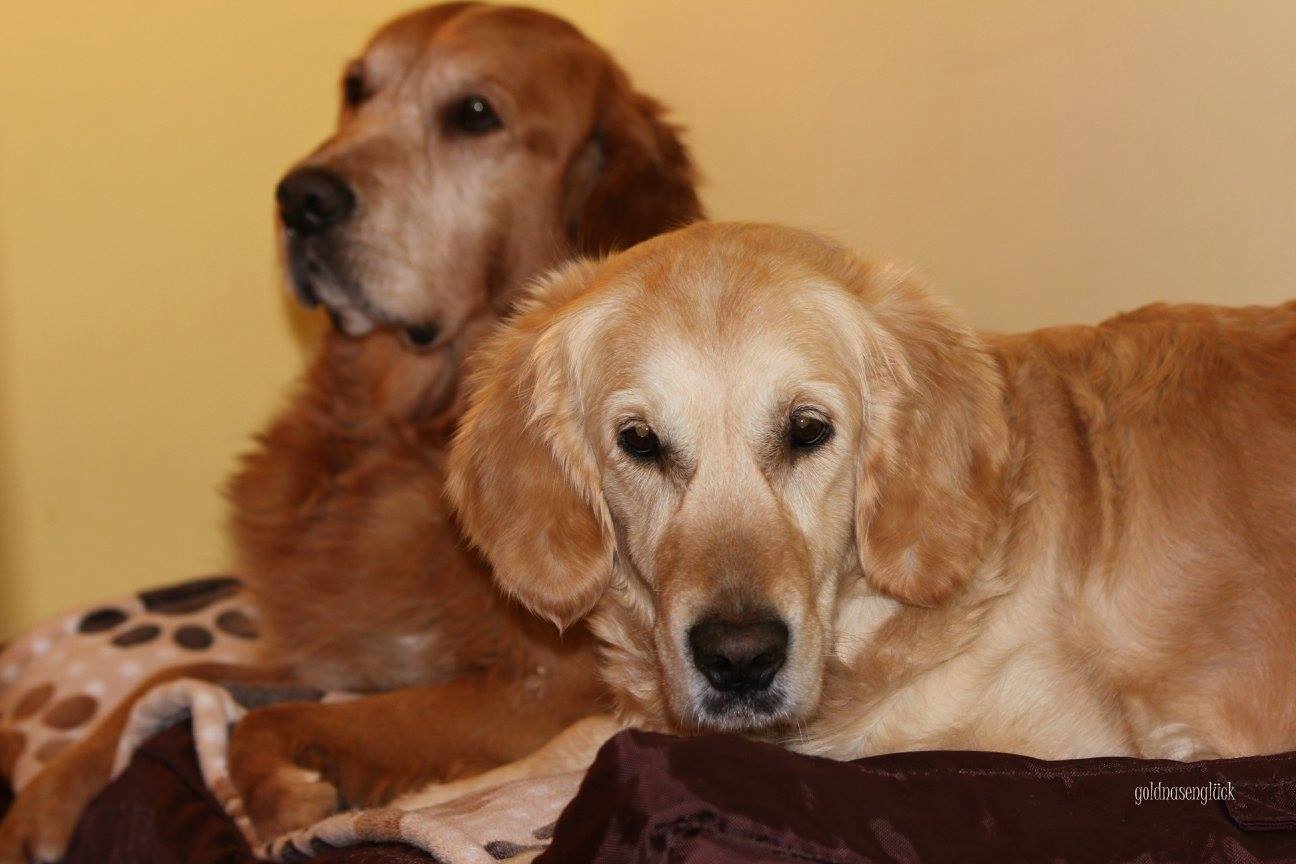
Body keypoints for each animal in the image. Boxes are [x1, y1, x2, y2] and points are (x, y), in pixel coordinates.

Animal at [0, 4, 699, 856]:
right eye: (356, 89)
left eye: (474, 114)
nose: (299, 197)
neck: (395, 434)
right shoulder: (355, 655)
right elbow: (167, 680)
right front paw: (44, 799)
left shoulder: (542, 688)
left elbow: (270, 721)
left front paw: (279, 799)